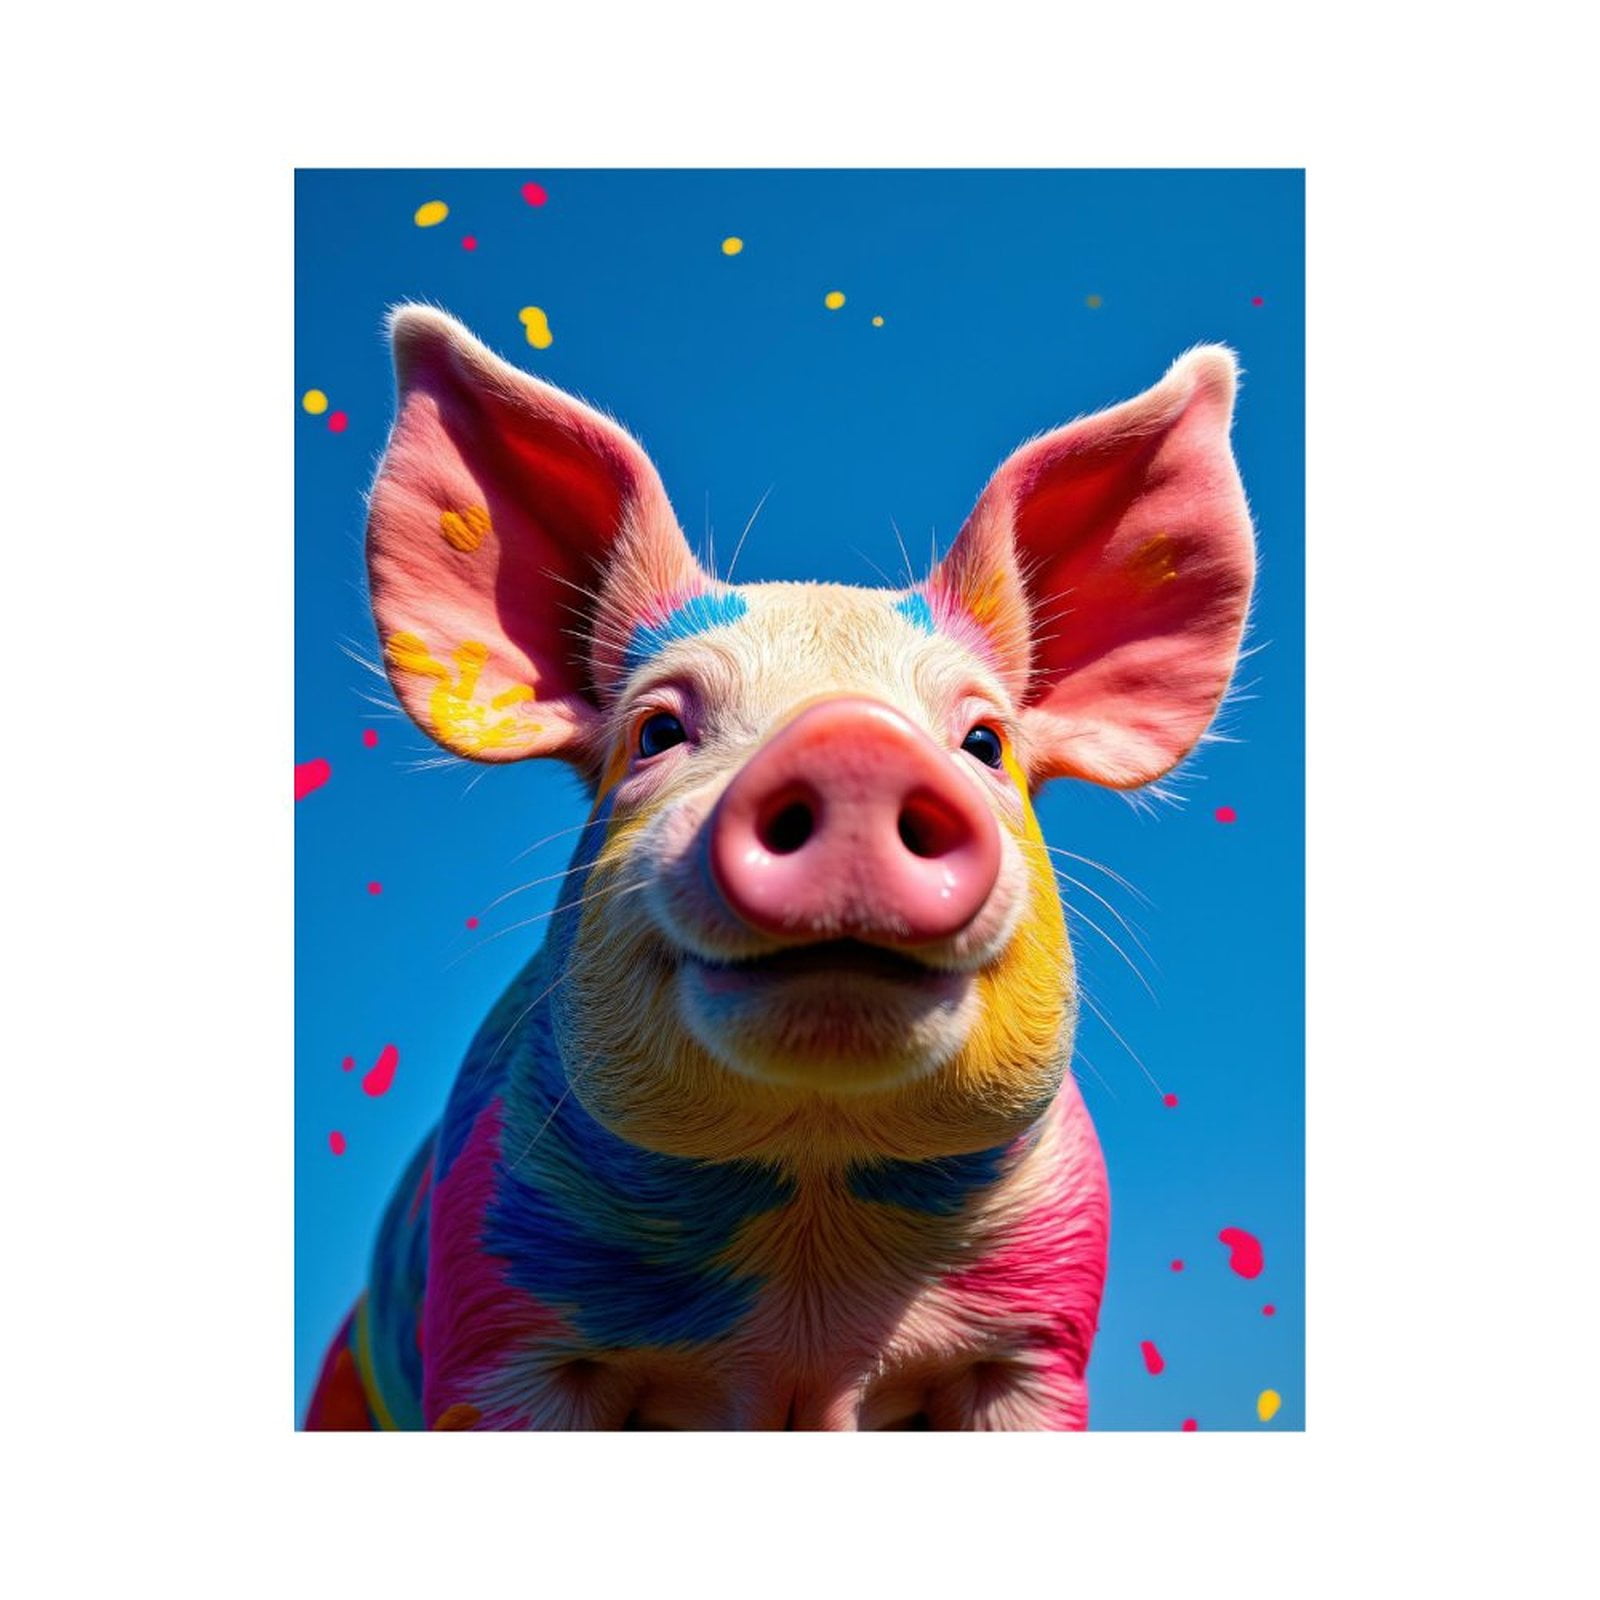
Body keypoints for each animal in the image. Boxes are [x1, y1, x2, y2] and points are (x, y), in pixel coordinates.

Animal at [303, 306, 1255, 1431]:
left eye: (984, 742)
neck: (812, 1194)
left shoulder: (1036, 1338)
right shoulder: (497, 1316)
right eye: (658, 730)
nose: (851, 742)